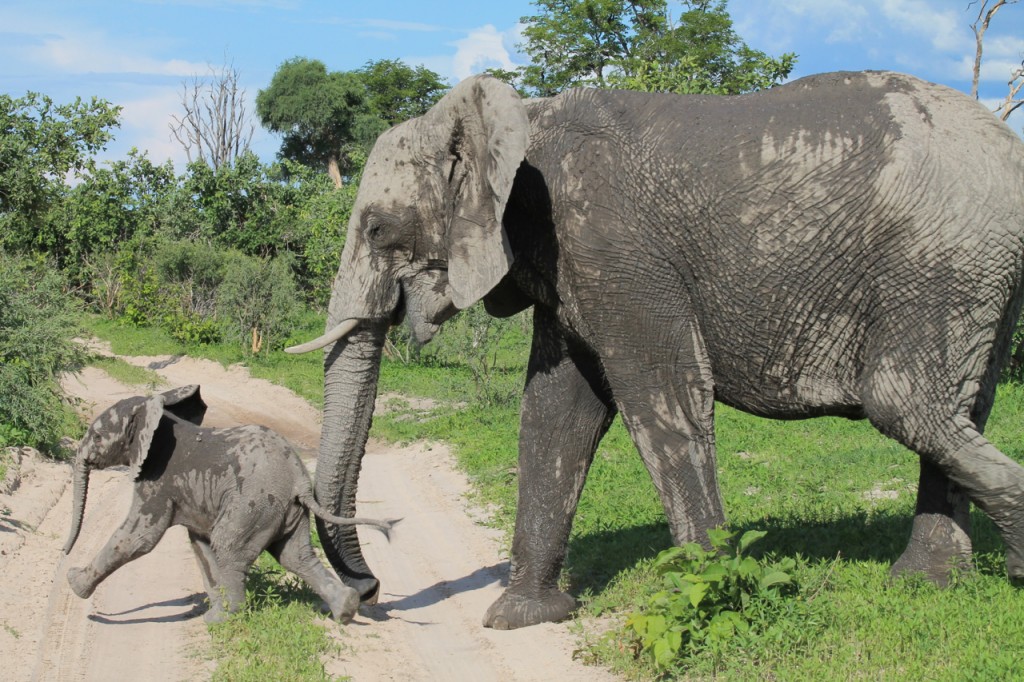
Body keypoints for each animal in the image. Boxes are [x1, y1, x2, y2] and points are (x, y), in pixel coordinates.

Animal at [61, 382, 393, 622]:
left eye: (98, 436)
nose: (64, 552)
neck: (154, 412)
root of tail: (299, 476)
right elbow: (200, 547)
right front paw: (211, 612)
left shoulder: (158, 479)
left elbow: (140, 538)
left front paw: (73, 583)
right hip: (285, 510)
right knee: (295, 556)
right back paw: (345, 610)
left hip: (254, 504)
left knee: (229, 545)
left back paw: (229, 619)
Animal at [288, 73, 1024, 626]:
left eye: (376, 228)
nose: (369, 593)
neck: (519, 119)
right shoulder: (567, 261)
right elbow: (556, 412)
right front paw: (526, 617)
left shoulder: (607, 240)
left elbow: (660, 386)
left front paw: (714, 593)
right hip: (978, 265)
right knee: (956, 410)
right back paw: (927, 584)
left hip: (939, 259)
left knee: (904, 403)